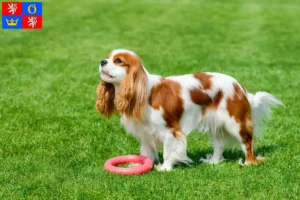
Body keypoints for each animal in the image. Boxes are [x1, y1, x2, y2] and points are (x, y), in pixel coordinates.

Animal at [96, 48, 284, 170]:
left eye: (118, 61)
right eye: (107, 58)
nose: (102, 61)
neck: (144, 92)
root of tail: (240, 86)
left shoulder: (170, 131)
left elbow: (168, 151)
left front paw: (165, 168)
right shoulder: (145, 133)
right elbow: (146, 152)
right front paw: (139, 164)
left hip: (235, 122)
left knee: (247, 142)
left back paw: (249, 163)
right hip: (216, 123)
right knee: (219, 144)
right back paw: (214, 161)